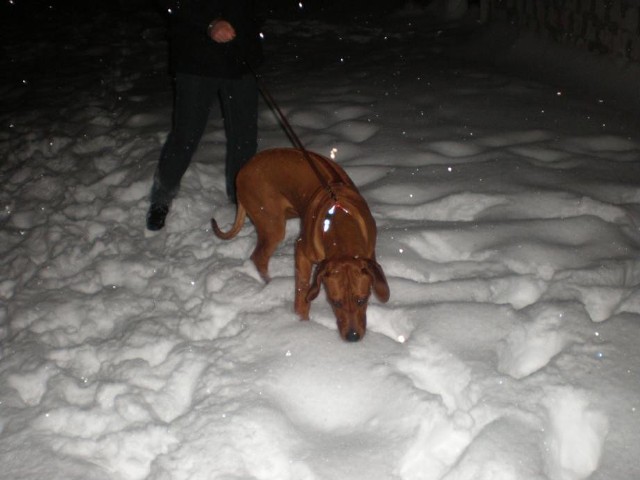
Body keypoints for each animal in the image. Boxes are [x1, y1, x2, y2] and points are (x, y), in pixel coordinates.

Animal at [212, 148, 388, 340]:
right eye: (335, 302)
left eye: (362, 300)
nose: (352, 337)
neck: (341, 225)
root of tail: (243, 169)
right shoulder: (302, 251)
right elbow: (302, 289)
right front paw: (301, 323)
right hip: (272, 224)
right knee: (258, 257)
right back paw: (268, 283)